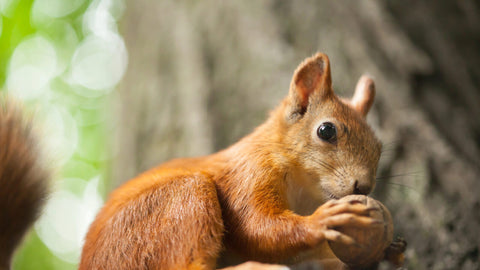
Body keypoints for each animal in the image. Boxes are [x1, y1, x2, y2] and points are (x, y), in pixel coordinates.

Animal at [79, 51, 386, 268]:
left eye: (380, 147)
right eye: (326, 130)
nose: (363, 187)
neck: (305, 191)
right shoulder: (248, 175)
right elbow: (256, 228)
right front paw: (322, 220)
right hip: (179, 200)